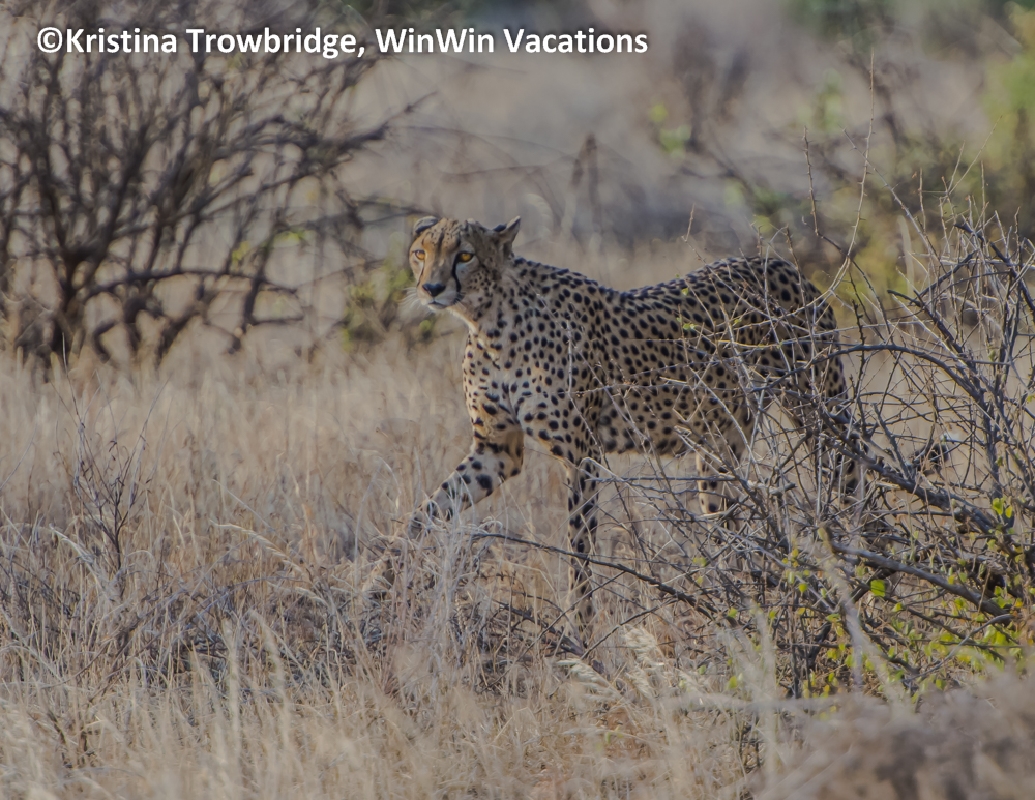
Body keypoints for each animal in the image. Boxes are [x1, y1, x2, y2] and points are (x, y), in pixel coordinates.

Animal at [376, 214, 861, 640]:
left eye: (464, 256)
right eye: (420, 253)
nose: (431, 288)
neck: (488, 319)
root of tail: (780, 264)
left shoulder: (582, 455)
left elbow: (579, 554)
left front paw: (582, 638)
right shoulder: (496, 450)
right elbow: (422, 515)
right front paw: (376, 586)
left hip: (819, 411)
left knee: (847, 475)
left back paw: (853, 569)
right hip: (719, 450)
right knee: (728, 525)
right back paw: (739, 604)